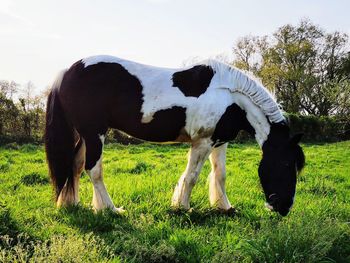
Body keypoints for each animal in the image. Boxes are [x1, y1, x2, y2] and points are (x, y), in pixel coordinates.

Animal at [45, 55, 304, 217]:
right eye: (285, 163)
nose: (284, 207)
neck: (229, 95)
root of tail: (67, 72)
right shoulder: (203, 143)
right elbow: (192, 176)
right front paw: (183, 207)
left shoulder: (220, 142)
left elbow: (220, 175)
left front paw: (225, 207)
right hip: (95, 133)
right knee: (94, 170)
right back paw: (110, 209)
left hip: (84, 135)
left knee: (76, 165)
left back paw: (72, 203)